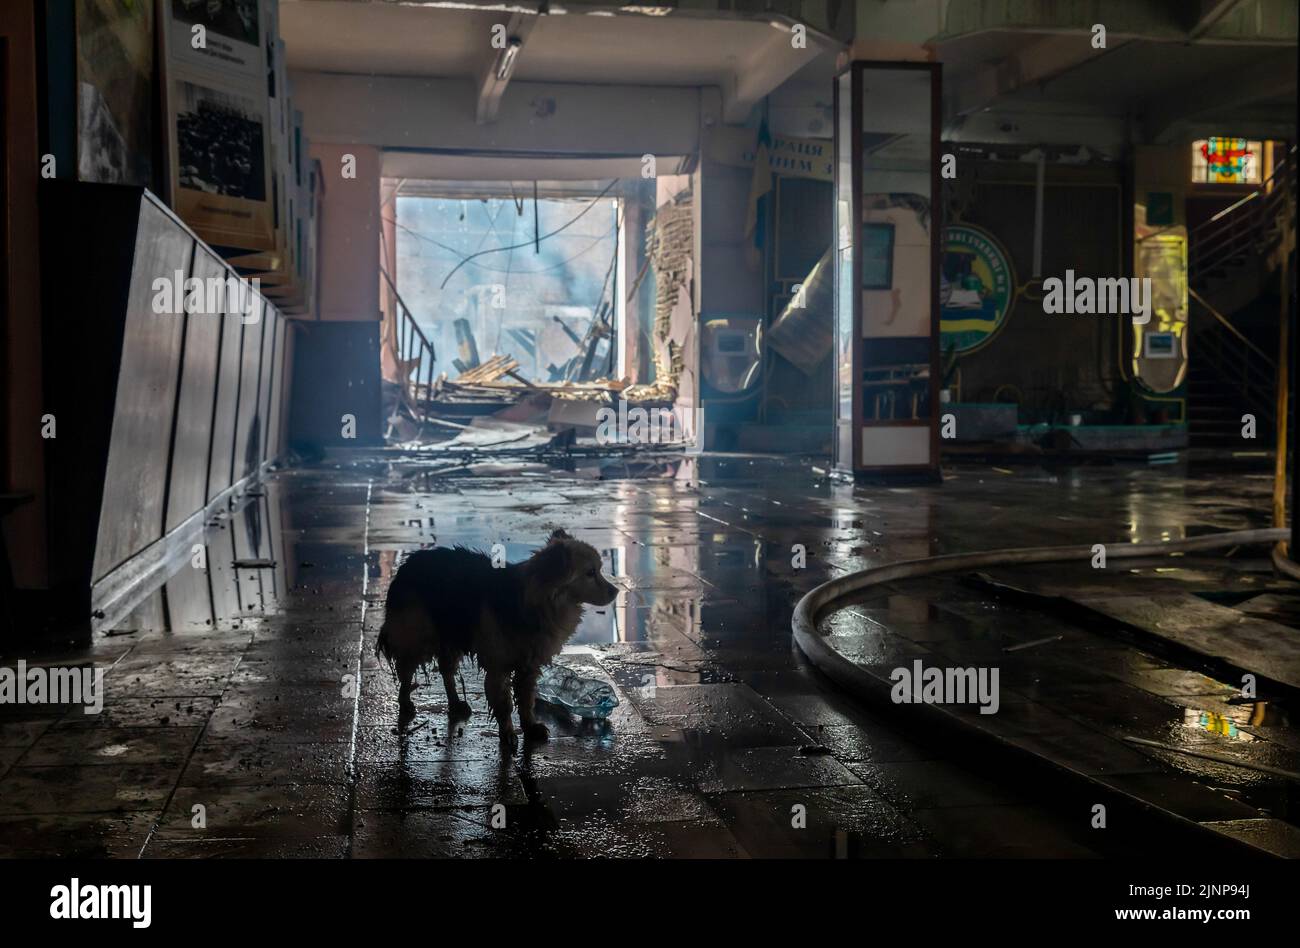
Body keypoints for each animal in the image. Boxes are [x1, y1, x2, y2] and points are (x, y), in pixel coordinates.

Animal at [377, 527, 618, 749]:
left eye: (599, 570)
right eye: (590, 573)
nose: (616, 591)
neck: (539, 602)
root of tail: (408, 563)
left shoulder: (528, 666)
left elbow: (526, 700)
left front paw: (530, 727)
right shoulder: (498, 666)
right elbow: (504, 704)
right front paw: (508, 734)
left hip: (451, 633)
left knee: (446, 670)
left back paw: (455, 702)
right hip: (417, 635)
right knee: (407, 670)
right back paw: (405, 702)